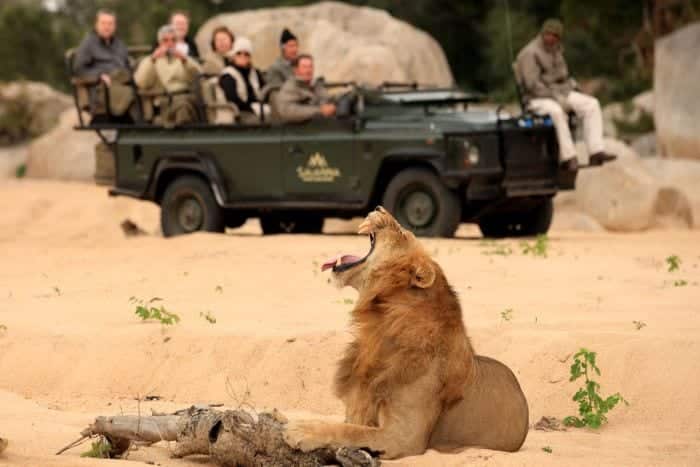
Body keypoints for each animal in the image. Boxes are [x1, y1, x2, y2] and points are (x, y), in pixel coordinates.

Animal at [284, 207, 529, 459]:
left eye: (402, 232)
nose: (379, 209)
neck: (380, 323)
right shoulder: (360, 405)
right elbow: (350, 425)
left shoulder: (405, 436)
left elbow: (351, 431)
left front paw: (302, 429)